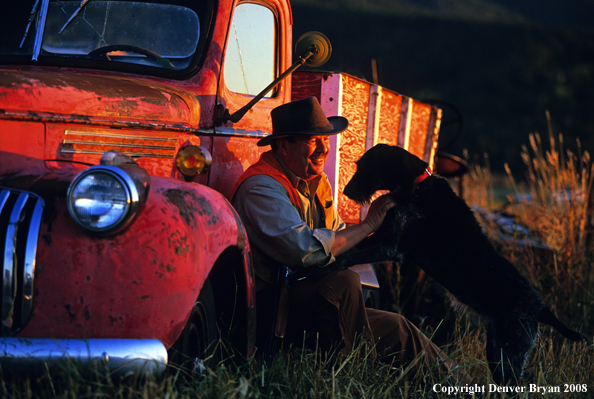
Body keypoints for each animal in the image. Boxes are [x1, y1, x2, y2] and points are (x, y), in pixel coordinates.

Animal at [324, 144, 584, 384]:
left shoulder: (389, 247)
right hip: (498, 351)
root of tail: (541, 308)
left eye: (367, 167)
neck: (416, 187)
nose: (345, 190)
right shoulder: (380, 237)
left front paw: (326, 268)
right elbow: (349, 247)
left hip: (508, 353)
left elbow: (348, 257)